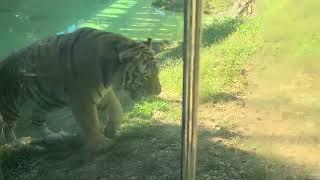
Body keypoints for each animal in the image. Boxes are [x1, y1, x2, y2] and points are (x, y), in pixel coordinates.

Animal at [0, 26, 160, 150]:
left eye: (157, 73)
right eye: (146, 76)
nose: (158, 91)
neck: (110, 74)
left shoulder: (104, 91)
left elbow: (117, 109)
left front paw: (111, 130)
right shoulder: (82, 98)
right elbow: (90, 121)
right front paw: (100, 143)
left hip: (43, 103)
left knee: (36, 122)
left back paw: (53, 136)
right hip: (12, 106)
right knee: (6, 127)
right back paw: (18, 144)